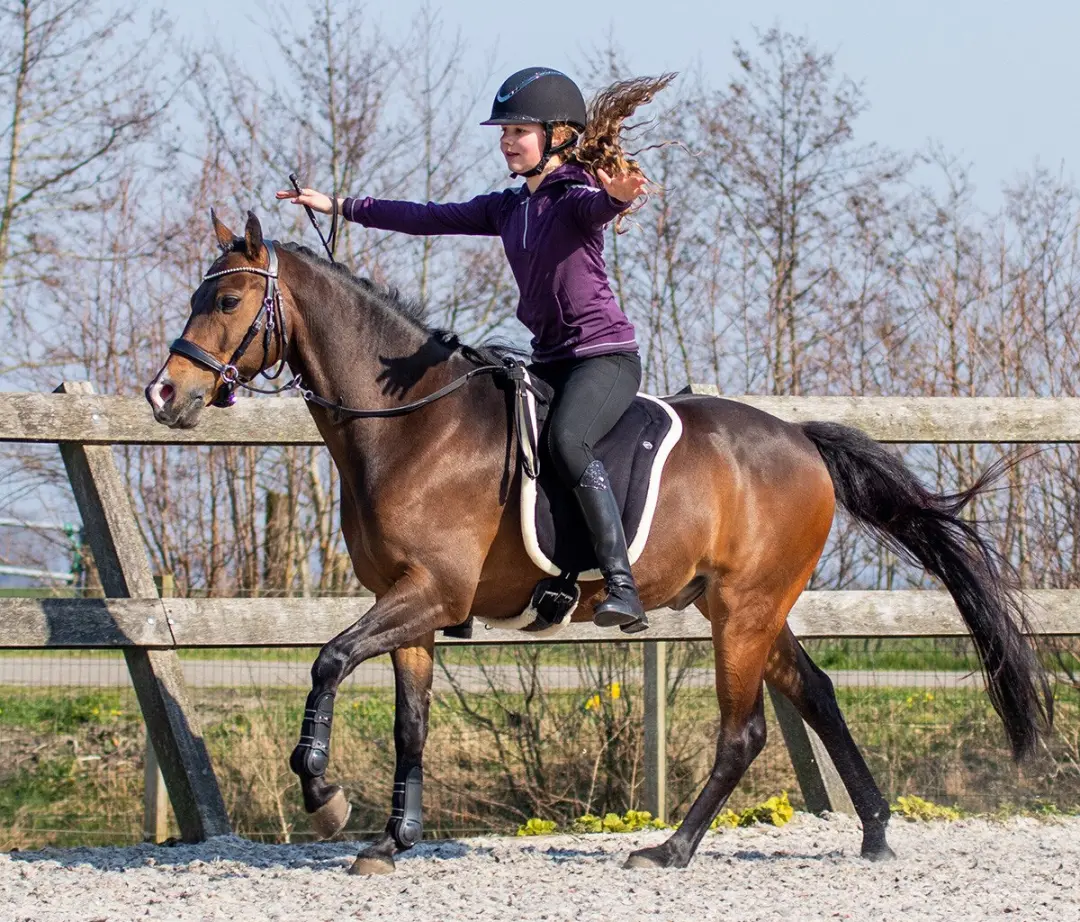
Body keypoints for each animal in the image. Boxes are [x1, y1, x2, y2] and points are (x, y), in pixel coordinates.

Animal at [145, 211, 1051, 874]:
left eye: (225, 304)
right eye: (192, 296)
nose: (163, 393)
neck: (410, 426)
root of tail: (799, 438)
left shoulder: (428, 593)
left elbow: (329, 660)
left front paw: (324, 793)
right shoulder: (409, 606)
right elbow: (410, 725)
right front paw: (390, 841)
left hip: (743, 612)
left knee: (745, 731)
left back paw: (672, 849)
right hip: (747, 607)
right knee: (819, 694)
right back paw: (873, 831)